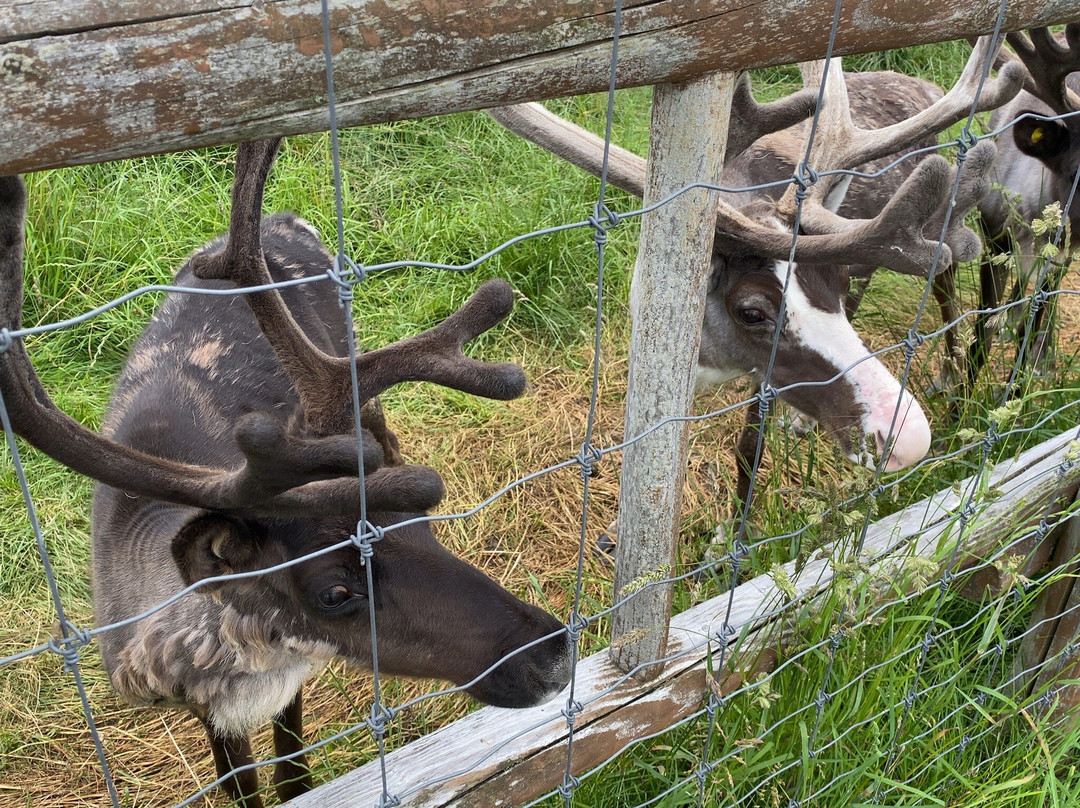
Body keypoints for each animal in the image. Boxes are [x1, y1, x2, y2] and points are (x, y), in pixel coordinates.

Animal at [0, 140, 574, 806]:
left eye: (423, 523)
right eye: (335, 591)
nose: (555, 653)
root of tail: (284, 219)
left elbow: (294, 769)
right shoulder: (207, 707)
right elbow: (240, 782)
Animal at [488, 37, 1022, 513]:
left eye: (835, 279)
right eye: (751, 311)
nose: (907, 436)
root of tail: (921, 83)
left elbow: (749, 447)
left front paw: (727, 543)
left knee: (945, 278)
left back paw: (954, 376)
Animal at [934, 25, 1080, 396]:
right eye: (1076, 170)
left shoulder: (1059, 254)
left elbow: (1032, 327)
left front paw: (1015, 389)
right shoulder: (994, 237)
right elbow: (981, 333)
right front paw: (961, 404)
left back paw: (1044, 354)